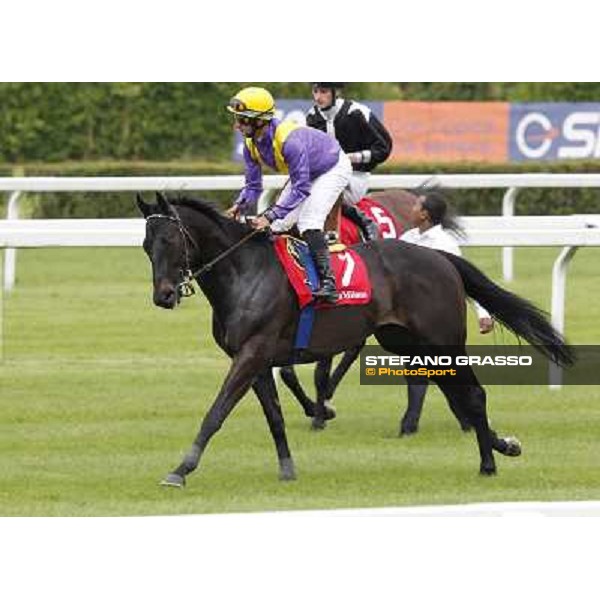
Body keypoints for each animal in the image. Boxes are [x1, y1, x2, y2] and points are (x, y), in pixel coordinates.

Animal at [138, 192, 576, 488]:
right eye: (145, 246)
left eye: (171, 241)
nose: (163, 295)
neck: (245, 273)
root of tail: (440, 258)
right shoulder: (256, 360)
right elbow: (275, 417)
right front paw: (287, 468)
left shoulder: (251, 354)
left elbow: (216, 412)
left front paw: (180, 470)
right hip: (406, 341)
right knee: (452, 392)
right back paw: (501, 445)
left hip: (443, 340)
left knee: (472, 394)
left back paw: (488, 463)